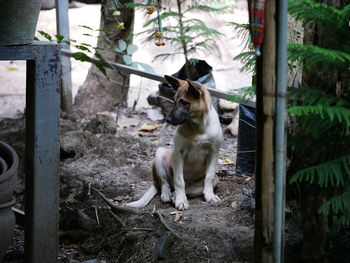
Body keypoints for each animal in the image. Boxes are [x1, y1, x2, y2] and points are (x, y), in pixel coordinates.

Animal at [126, 75, 223, 211]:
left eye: (185, 103)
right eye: (174, 100)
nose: (167, 119)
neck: (197, 128)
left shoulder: (214, 153)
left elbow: (209, 177)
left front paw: (210, 196)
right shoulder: (178, 154)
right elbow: (179, 180)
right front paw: (181, 201)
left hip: (215, 180)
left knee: (189, 187)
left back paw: (175, 195)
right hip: (160, 154)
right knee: (165, 184)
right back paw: (168, 195)